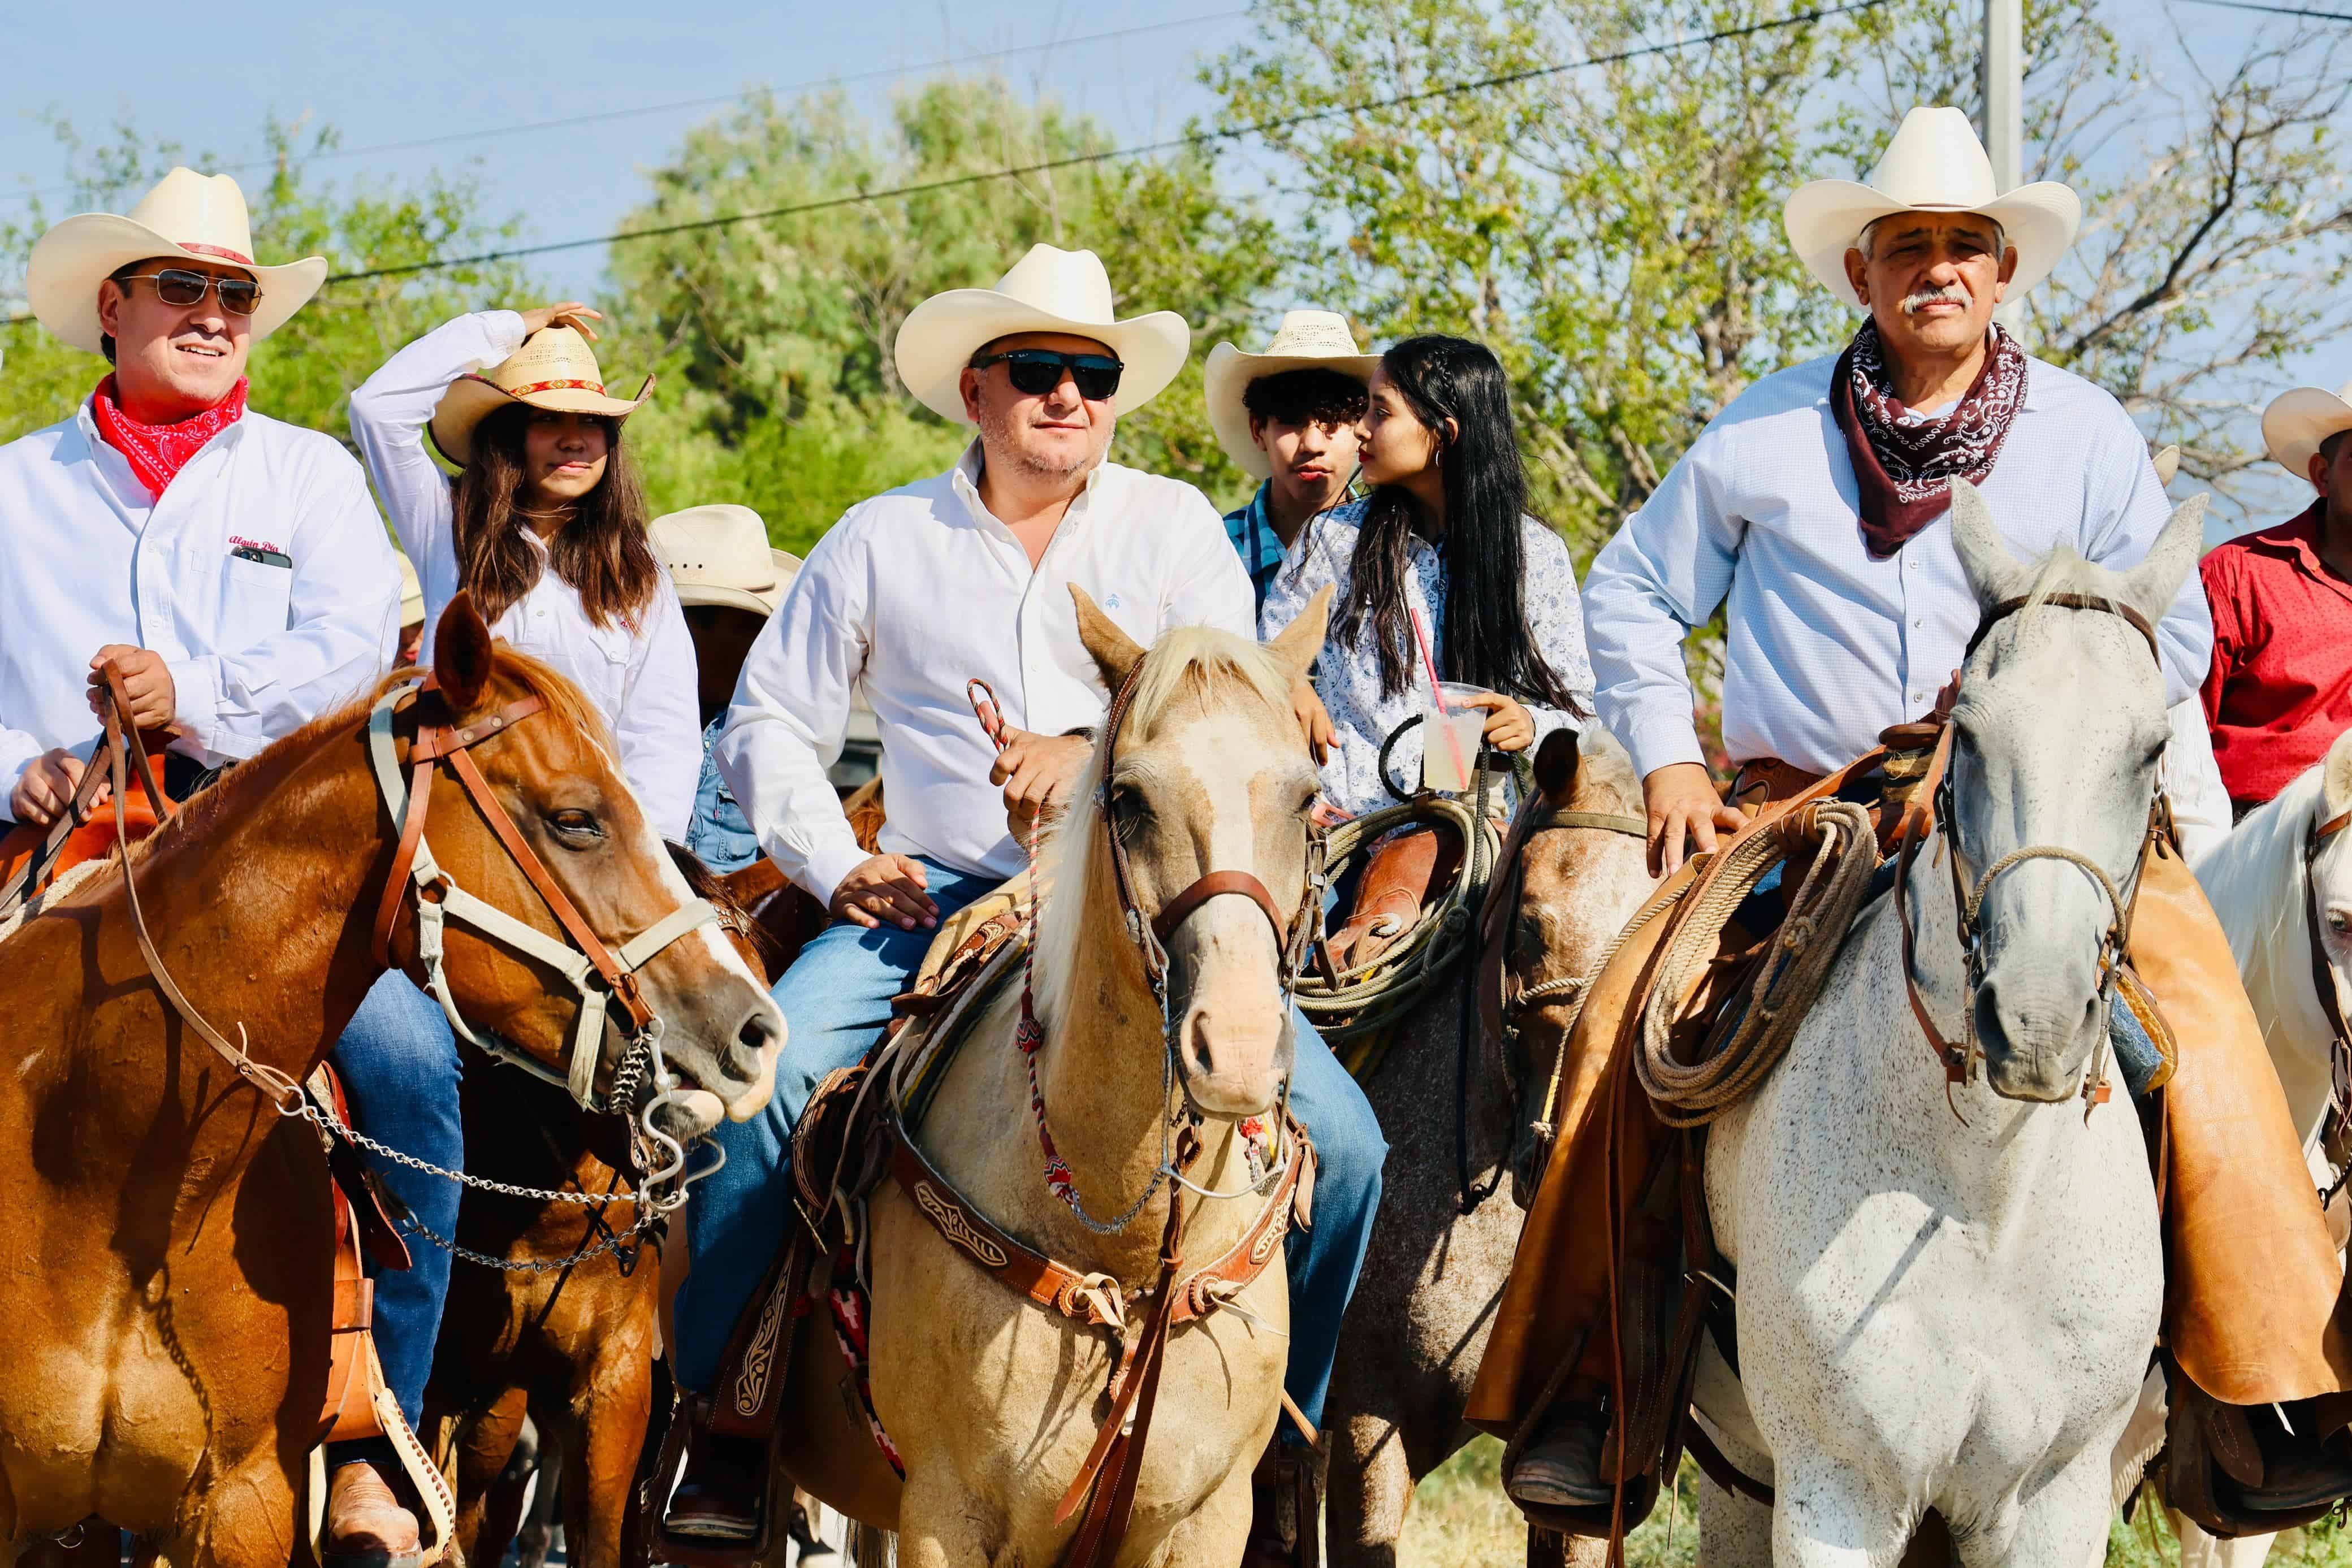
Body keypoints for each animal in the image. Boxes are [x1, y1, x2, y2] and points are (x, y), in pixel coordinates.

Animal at [1693, 482, 2201, 1568]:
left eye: (2152, 747)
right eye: (1965, 733)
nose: (2037, 1020)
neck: (1985, 1199)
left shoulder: (2054, 1501)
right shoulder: (1835, 1496)